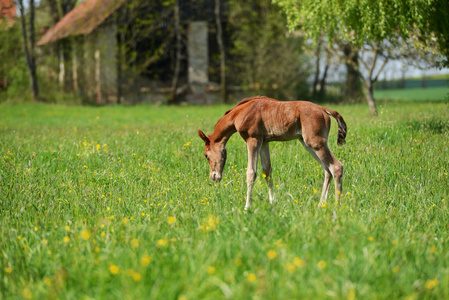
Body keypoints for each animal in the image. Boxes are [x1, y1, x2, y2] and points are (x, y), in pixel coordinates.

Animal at [197, 96, 346, 209]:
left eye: (206, 155)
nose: (213, 177)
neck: (240, 112)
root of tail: (323, 109)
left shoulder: (253, 139)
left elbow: (251, 173)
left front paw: (247, 207)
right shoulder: (264, 142)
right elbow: (267, 171)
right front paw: (272, 202)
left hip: (315, 143)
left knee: (336, 167)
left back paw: (337, 206)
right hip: (308, 143)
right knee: (327, 170)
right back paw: (321, 204)